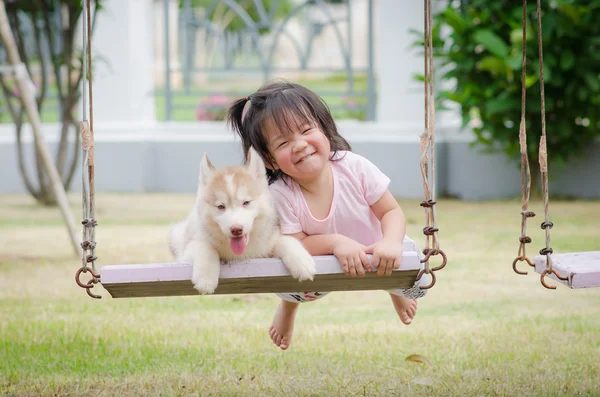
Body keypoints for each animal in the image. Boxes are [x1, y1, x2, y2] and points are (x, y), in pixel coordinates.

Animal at [168, 147, 316, 292]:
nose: (236, 229)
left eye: (246, 202)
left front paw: (302, 262)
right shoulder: (187, 251)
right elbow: (205, 247)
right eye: (221, 206)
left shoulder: (266, 246)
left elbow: (286, 240)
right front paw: (206, 279)